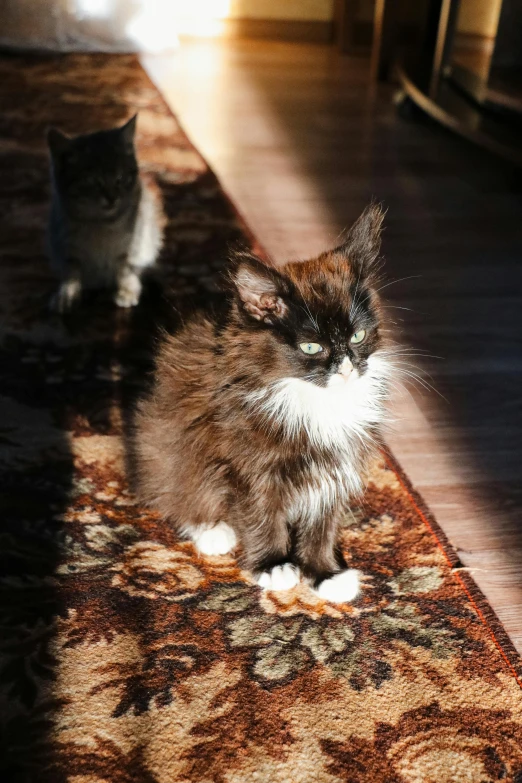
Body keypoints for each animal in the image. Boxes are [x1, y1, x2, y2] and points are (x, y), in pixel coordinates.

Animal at [48, 116, 164, 312]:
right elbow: (71, 271)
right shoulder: (66, 244)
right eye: (90, 180)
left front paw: (127, 290)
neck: (101, 224)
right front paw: (67, 294)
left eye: (120, 178)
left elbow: (125, 267)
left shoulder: (132, 243)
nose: (112, 198)